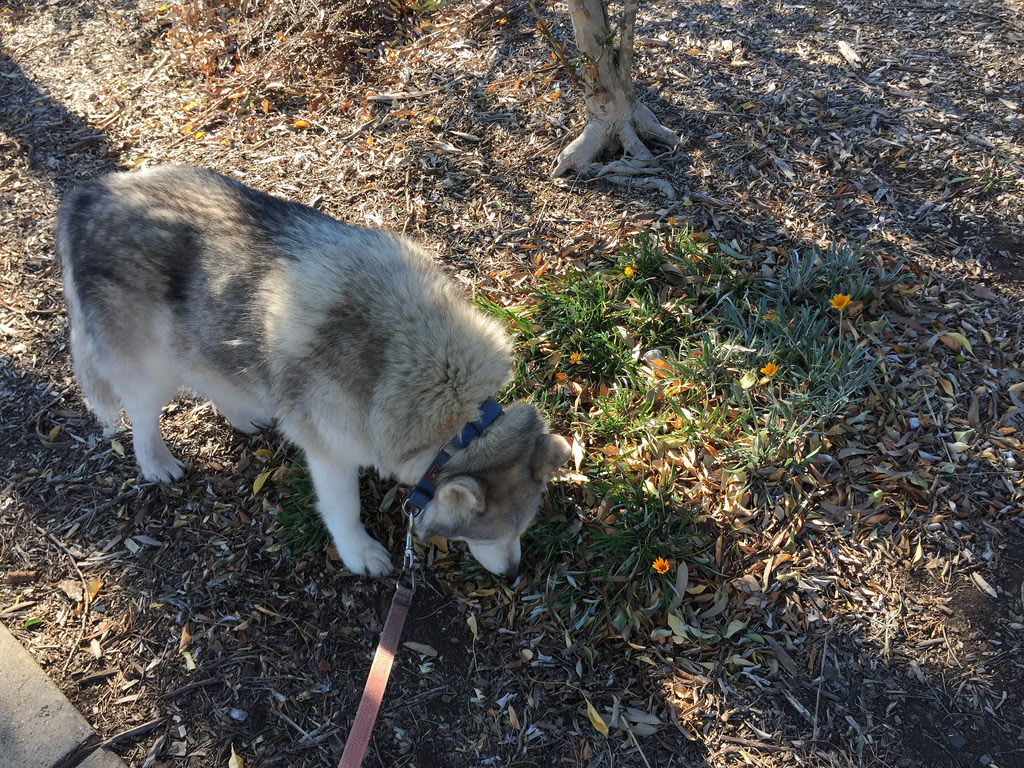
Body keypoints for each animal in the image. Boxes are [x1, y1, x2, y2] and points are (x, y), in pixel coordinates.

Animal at [56, 165, 569, 578]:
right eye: (489, 536)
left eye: (525, 527)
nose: (514, 574)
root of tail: (88, 193)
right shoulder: (330, 452)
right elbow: (344, 509)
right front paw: (360, 553)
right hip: (150, 368)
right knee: (142, 416)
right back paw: (157, 463)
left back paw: (245, 414)